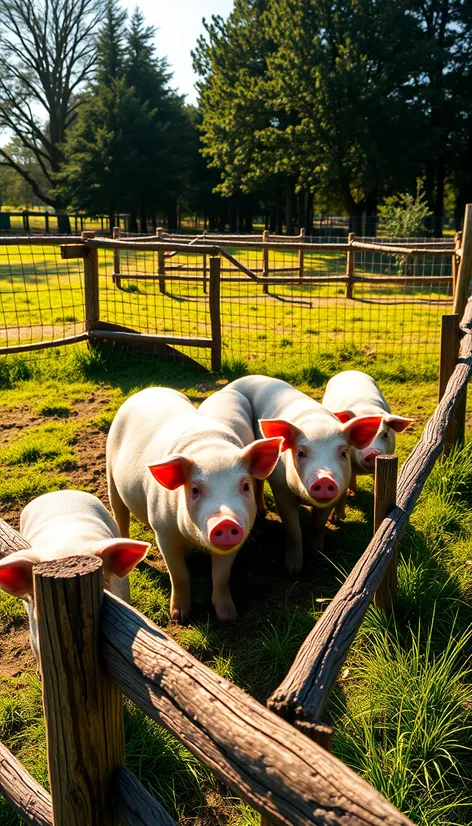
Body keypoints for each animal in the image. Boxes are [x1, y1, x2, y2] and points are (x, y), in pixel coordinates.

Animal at [223, 374, 382, 572]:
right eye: (300, 453)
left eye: (343, 452)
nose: (324, 479)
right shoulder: (281, 490)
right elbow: (294, 530)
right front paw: (292, 569)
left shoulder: (331, 498)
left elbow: (317, 526)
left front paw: (317, 555)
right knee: (258, 483)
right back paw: (262, 512)